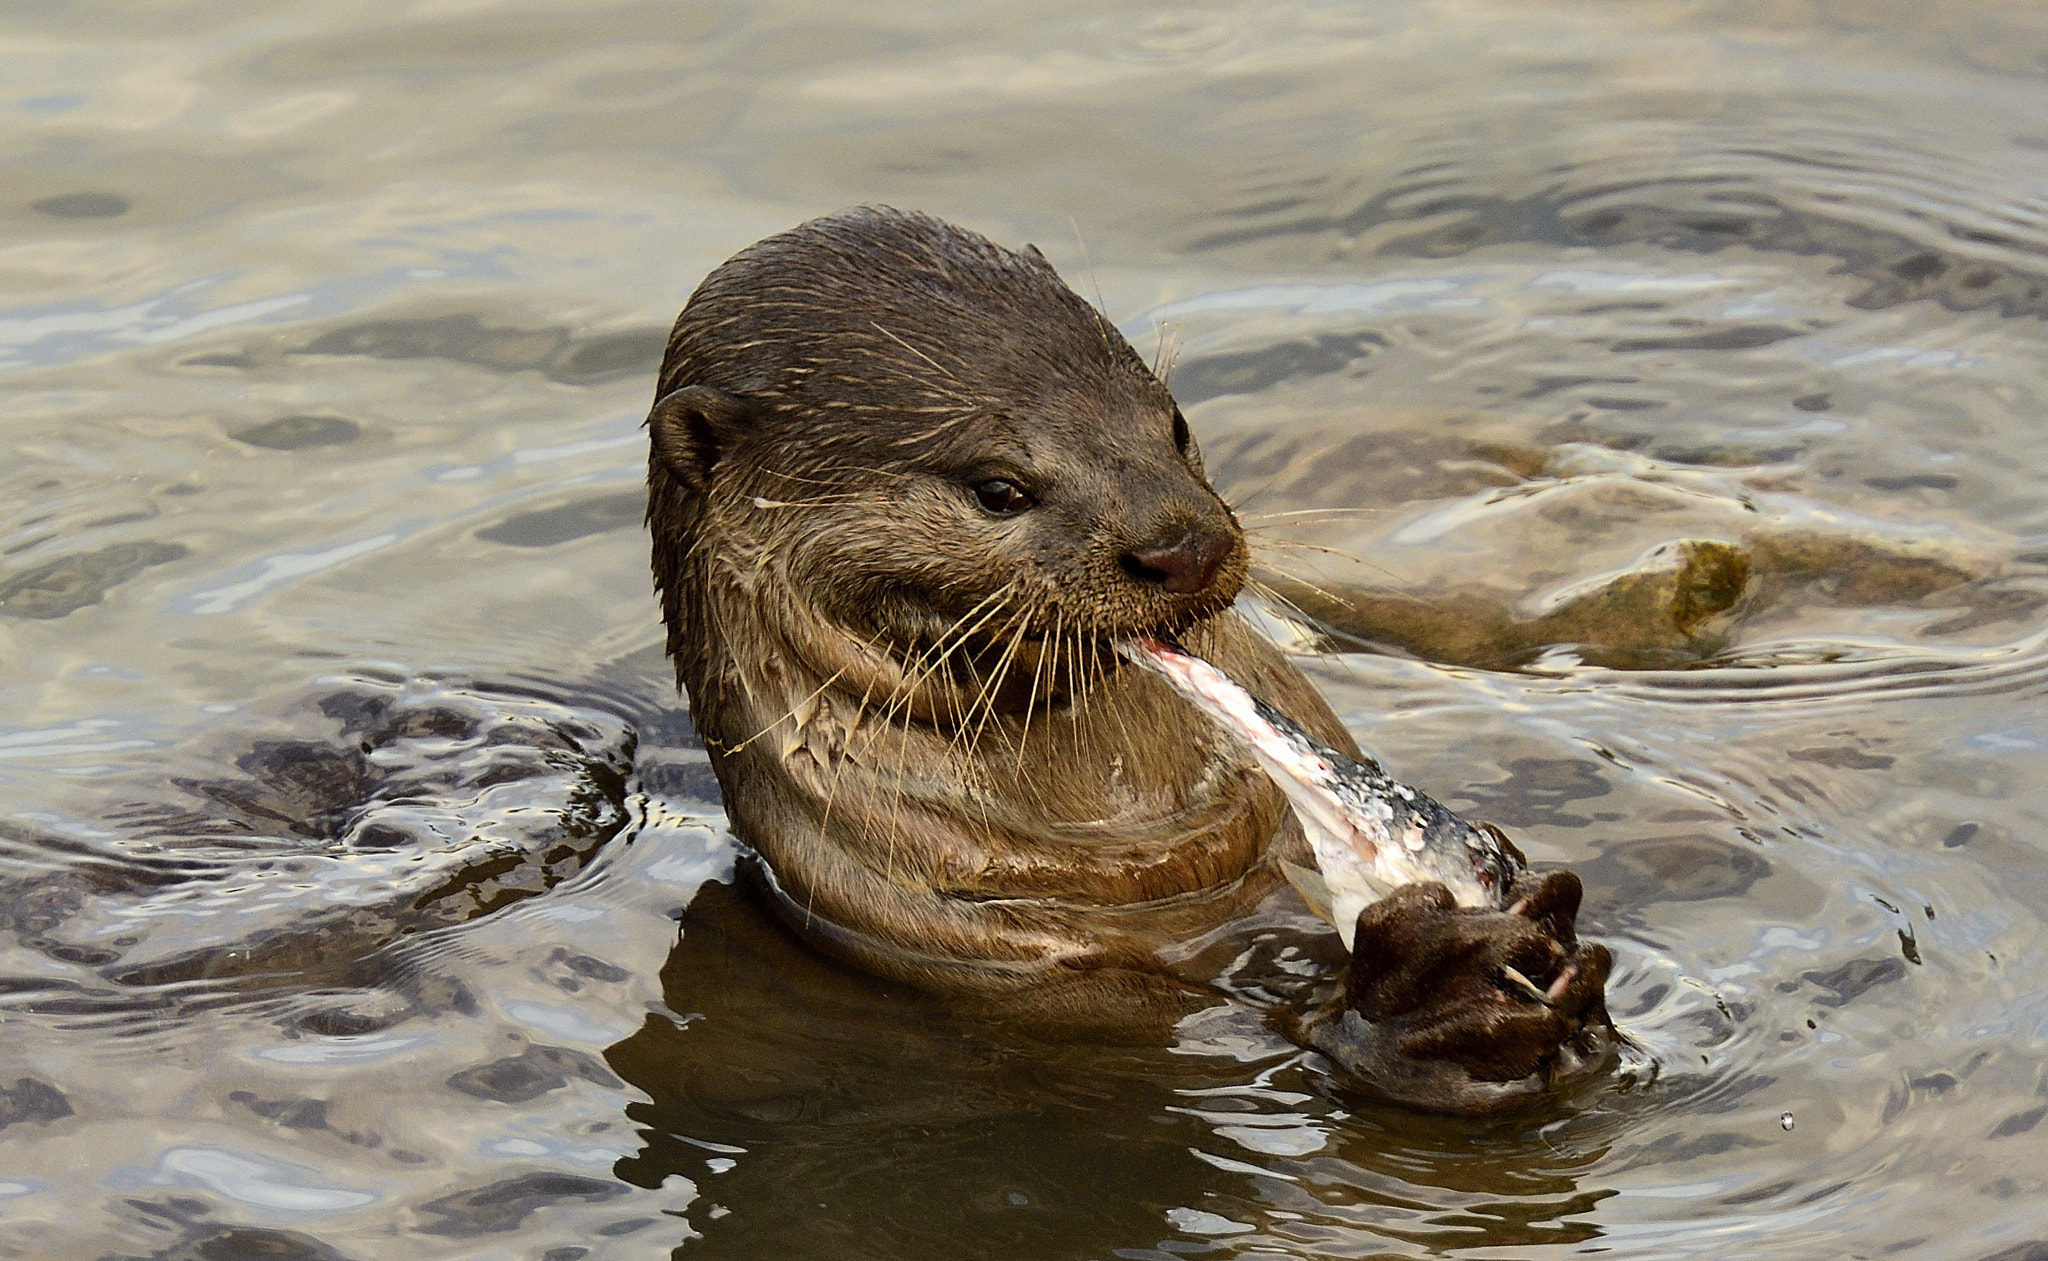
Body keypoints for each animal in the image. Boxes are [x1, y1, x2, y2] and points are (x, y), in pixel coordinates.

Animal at [644, 206, 1612, 1112]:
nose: (1182, 543)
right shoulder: (1011, 975)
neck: (1141, 859)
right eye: (997, 488)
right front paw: (1434, 993)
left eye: (1175, 422)